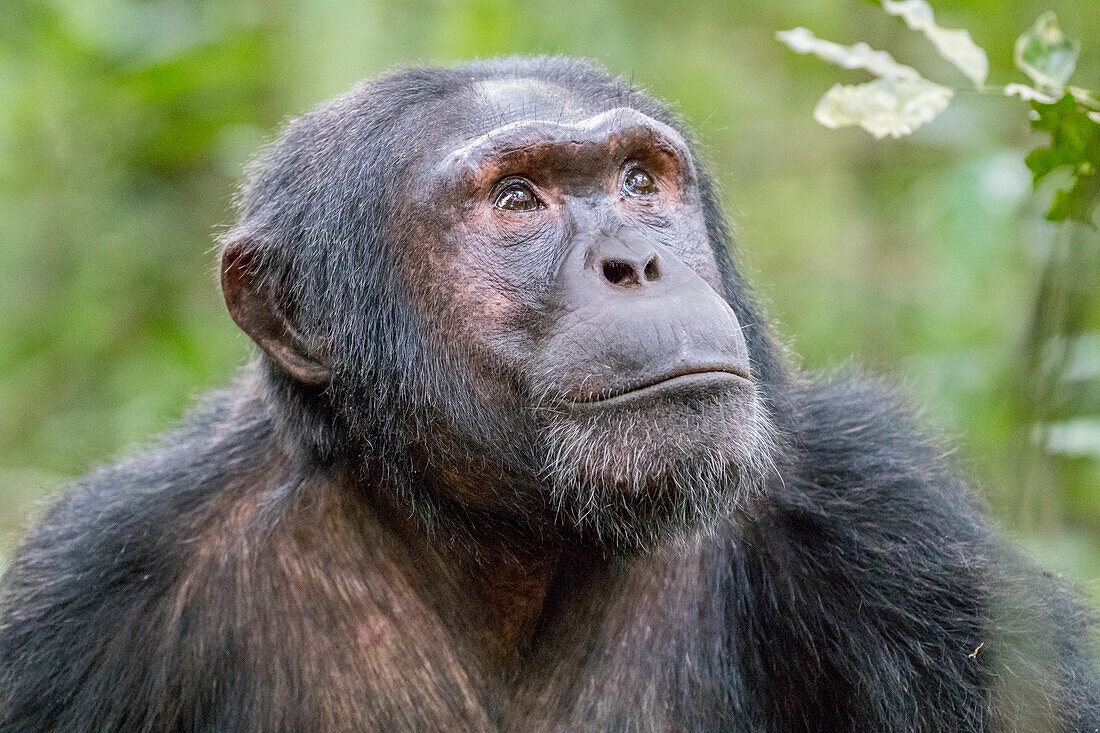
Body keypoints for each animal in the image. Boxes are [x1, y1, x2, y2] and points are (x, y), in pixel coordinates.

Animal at [2, 54, 1100, 726]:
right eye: (517, 200)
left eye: (637, 181)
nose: (634, 262)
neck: (509, 542)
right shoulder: (87, 591)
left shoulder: (896, 532)